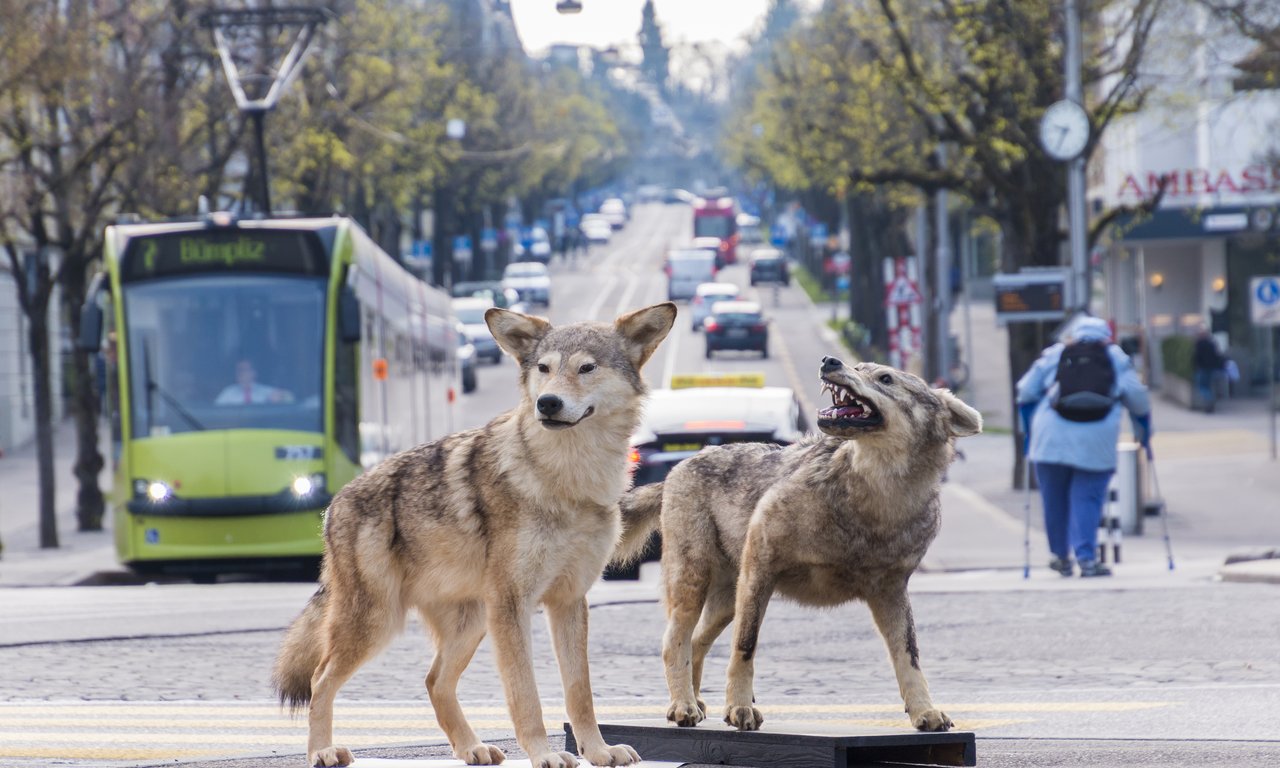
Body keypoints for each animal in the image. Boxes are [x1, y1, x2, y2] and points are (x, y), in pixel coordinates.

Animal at [273, 302, 676, 768]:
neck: (567, 480)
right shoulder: (512, 604)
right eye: (544, 368)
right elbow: (526, 695)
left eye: (586, 368)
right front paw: (544, 754)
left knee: (434, 681)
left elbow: (580, 693)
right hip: (379, 623)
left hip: (470, 624)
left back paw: (471, 748)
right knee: (321, 679)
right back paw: (322, 751)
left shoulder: (570, 600)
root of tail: (334, 503)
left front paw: (598, 751)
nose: (547, 402)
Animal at [613, 356, 982, 734]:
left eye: (885, 378)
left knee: (697, 641)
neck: (879, 499)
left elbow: (909, 657)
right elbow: (745, 647)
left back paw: (695, 702)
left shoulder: (891, 592)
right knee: (674, 641)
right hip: (697, 584)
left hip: (727, 600)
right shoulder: (761, 566)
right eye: (859, 366)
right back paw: (683, 706)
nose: (830, 360)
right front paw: (740, 708)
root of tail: (680, 466)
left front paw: (926, 711)